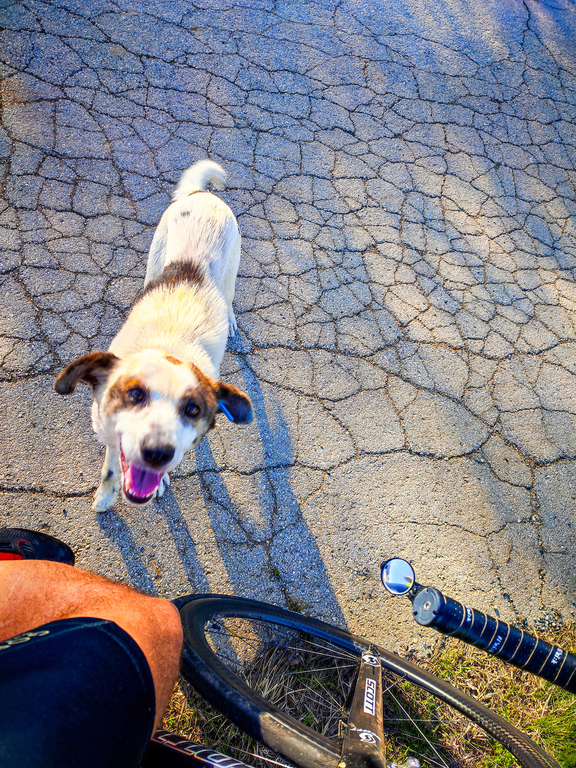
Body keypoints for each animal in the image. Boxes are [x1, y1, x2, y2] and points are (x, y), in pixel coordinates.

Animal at [55, 160, 253, 512]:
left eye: (193, 409)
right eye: (135, 394)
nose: (158, 453)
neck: (166, 347)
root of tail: (202, 193)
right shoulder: (110, 429)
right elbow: (111, 466)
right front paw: (106, 494)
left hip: (231, 268)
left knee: (229, 297)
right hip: (155, 256)